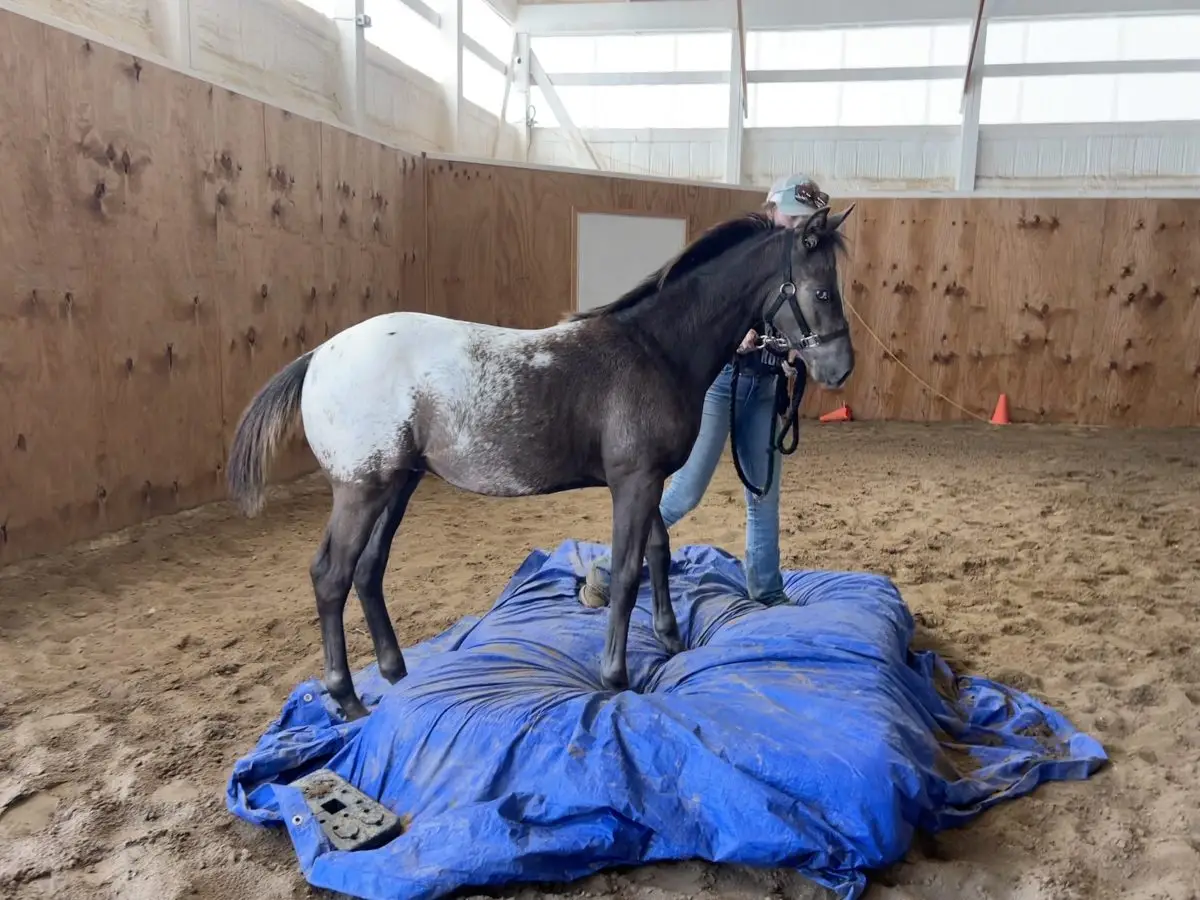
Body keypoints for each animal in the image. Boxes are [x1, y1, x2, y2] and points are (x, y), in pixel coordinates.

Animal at [226, 204, 856, 720]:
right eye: (824, 292)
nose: (840, 368)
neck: (654, 350)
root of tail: (318, 356)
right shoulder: (633, 482)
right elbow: (627, 570)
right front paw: (615, 677)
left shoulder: (648, 481)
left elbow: (658, 552)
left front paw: (672, 641)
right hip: (363, 489)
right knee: (331, 575)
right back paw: (347, 697)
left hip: (399, 486)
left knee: (368, 570)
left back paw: (395, 673)